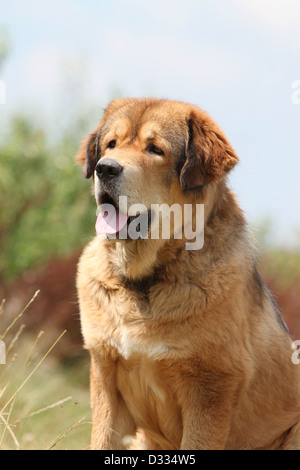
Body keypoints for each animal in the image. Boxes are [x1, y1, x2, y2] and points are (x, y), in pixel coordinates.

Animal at [75, 97, 300, 450]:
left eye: (155, 149)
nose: (105, 168)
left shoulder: (210, 389)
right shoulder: (107, 378)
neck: (145, 281)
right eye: (111, 144)